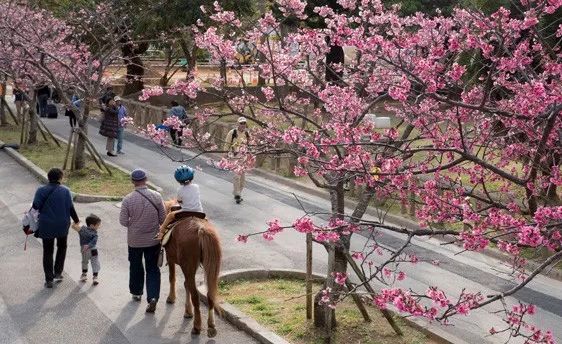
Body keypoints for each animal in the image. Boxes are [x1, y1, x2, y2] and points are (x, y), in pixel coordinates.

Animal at [162, 200, 221, 338]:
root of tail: (201, 229)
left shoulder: (171, 259)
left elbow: (172, 278)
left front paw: (171, 298)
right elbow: (185, 284)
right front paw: (188, 312)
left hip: (187, 266)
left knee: (195, 295)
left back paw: (197, 326)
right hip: (209, 268)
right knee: (210, 293)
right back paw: (211, 326)